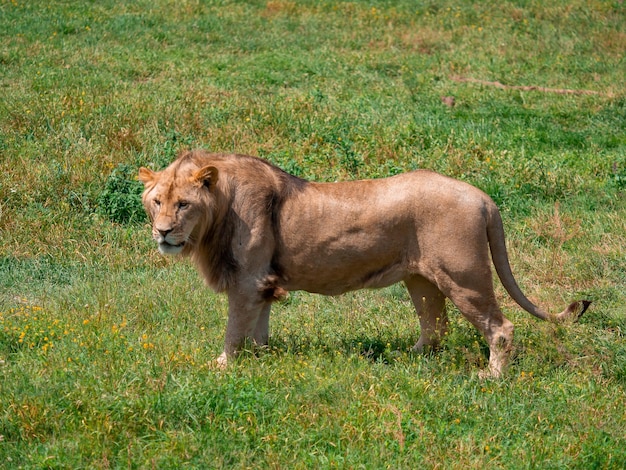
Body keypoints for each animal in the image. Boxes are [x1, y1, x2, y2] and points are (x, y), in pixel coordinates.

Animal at [138, 151, 588, 378]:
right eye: (156, 201)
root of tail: (483, 197)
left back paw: (491, 377)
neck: (220, 208)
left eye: (184, 204)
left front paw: (223, 366)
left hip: (465, 277)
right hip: (422, 280)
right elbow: (258, 329)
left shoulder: (247, 281)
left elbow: (234, 330)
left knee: (500, 327)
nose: (163, 232)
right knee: (435, 327)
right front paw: (262, 360)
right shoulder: (262, 282)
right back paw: (407, 359)